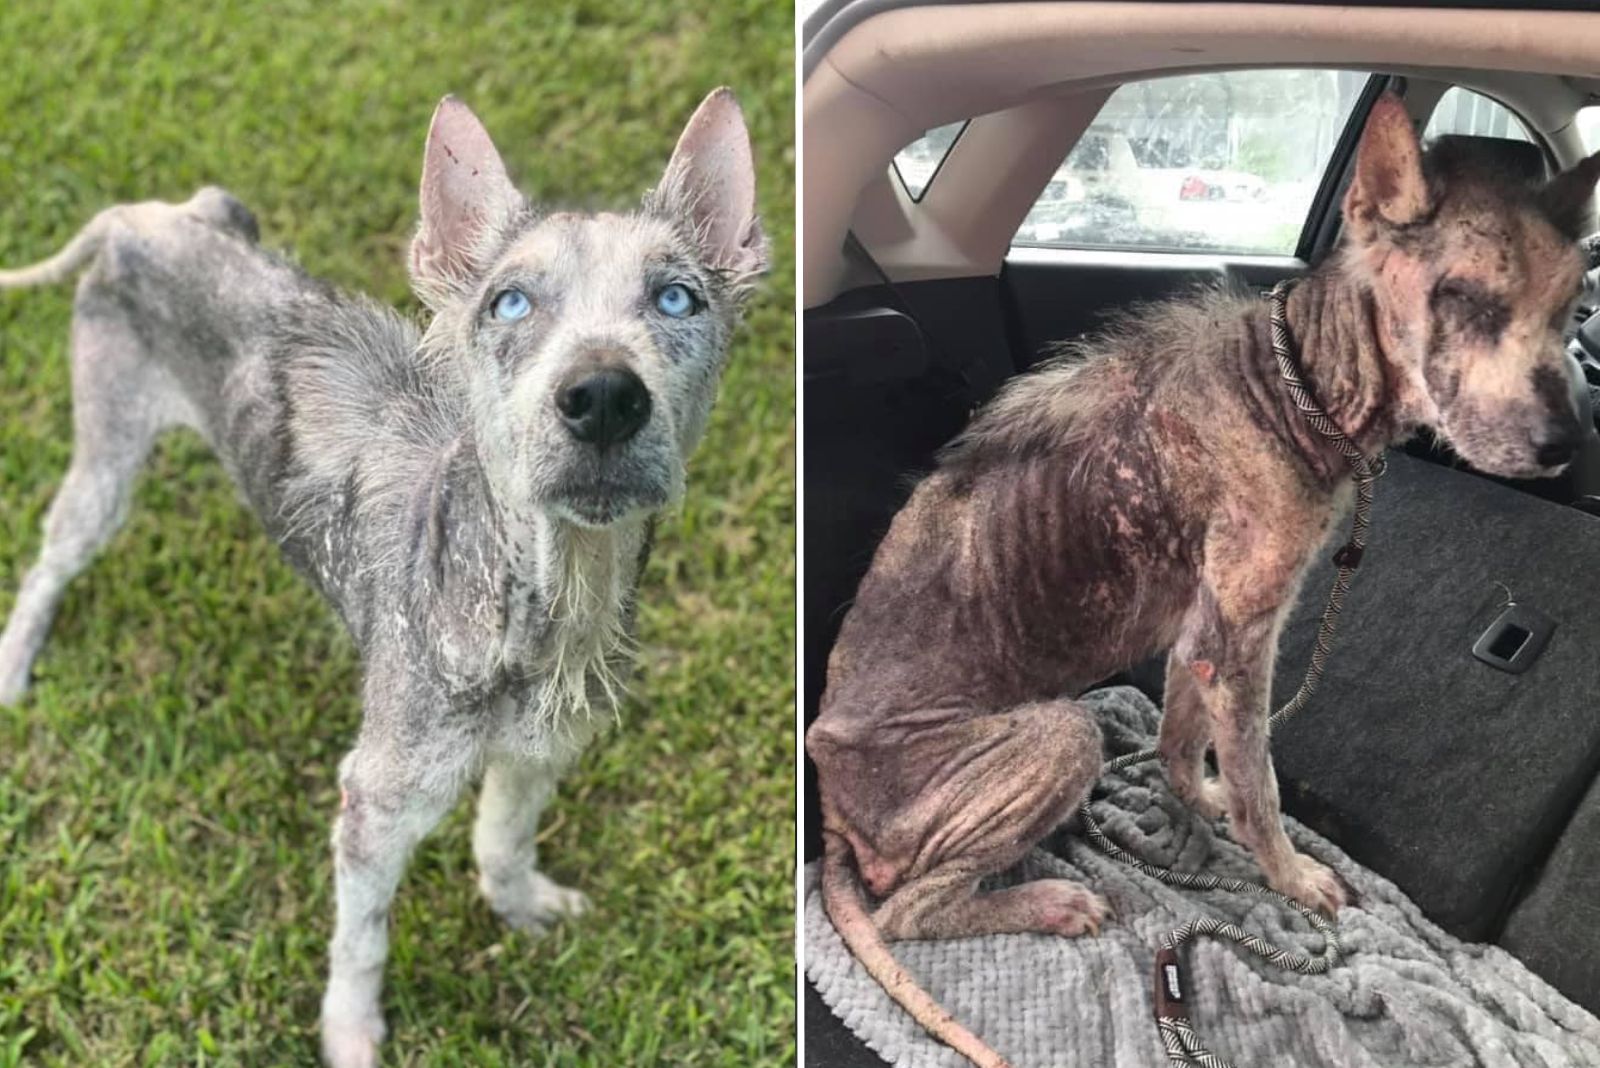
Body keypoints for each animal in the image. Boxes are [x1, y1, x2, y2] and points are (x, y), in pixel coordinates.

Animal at [0, 89, 768, 1068]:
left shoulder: (540, 750)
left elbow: (504, 841)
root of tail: (143, 217)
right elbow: (361, 940)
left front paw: (523, 908)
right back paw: (15, 671)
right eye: (508, 302)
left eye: (677, 297)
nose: (602, 397)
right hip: (106, 455)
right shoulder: (376, 798)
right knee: (43, 564)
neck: (534, 605)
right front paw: (352, 1035)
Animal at [806, 95, 1600, 1061]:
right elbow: (1260, 780)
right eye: (1463, 297)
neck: (1300, 380)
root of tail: (832, 812)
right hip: (1061, 733)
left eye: (1575, 304)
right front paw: (1290, 877)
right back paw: (1049, 900)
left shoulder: (1206, 632)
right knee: (907, 912)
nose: (1569, 445)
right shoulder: (1244, 635)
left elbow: (1184, 743)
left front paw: (1196, 804)